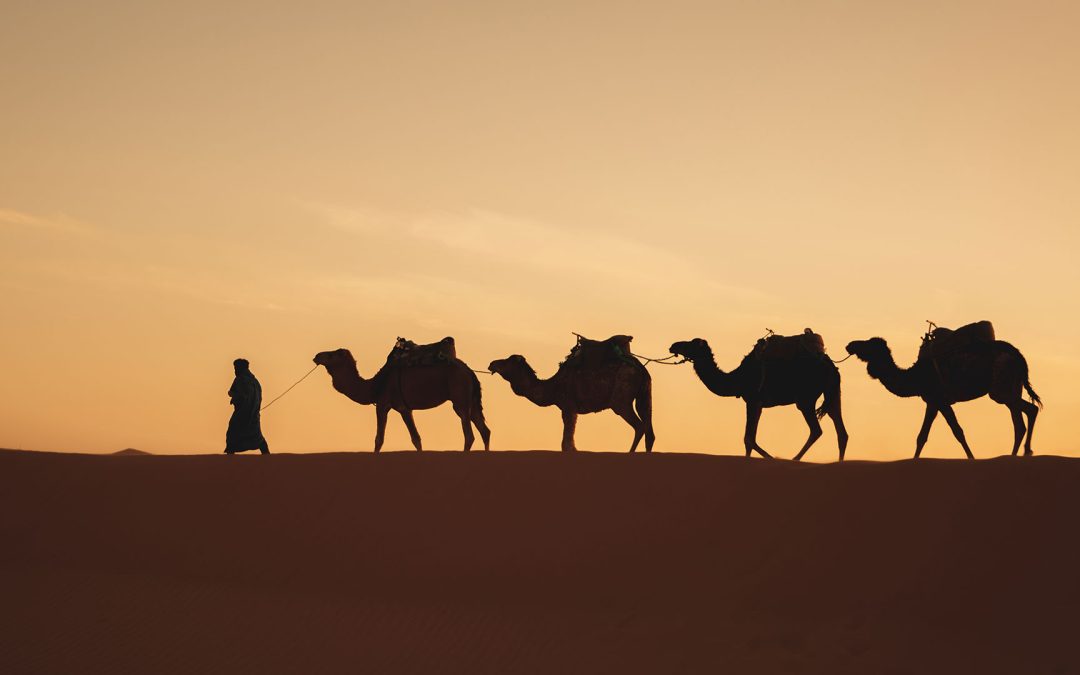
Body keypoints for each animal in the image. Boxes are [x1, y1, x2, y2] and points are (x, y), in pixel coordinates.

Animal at [311, 347, 492, 453]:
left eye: (331, 354)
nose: (316, 356)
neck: (374, 385)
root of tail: (469, 372)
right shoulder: (405, 408)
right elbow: (416, 439)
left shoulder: (384, 405)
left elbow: (379, 439)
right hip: (472, 401)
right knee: (485, 431)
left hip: (460, 398)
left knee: (469, 434)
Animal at [492, 336, 656, 453]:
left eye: (507, 361)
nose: (492, 364)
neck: (553, 386)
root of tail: (642, 369)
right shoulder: (574, 409)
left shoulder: (568, 405)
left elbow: (566, 443)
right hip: (644, 394)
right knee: (649, 430)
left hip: (621, 397)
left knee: (639, 426)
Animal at [669, 334, 846, 460]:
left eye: (691, 343)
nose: (673, 345)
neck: (737, 378)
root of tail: (830, 366)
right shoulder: (758, 404)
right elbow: (749, 440)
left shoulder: (753, 400)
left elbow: (748, 439)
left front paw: (771, 457)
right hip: (832, 393)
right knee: (841, 431)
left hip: (805, 398)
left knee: (816, 430)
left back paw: (794, 459)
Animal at [842, 332, 1036, 457]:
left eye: (868, 344)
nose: (850, 345)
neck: (915, 377)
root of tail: (1018, 356)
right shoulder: (932, 402)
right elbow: (921, 437)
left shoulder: (940, 400)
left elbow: (958, 432)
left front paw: (972, 458)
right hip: (1012, 386)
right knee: (1020, 422)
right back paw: (1016, 454)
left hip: (1000, 388)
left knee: (1029, 411)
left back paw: (1025, 452)